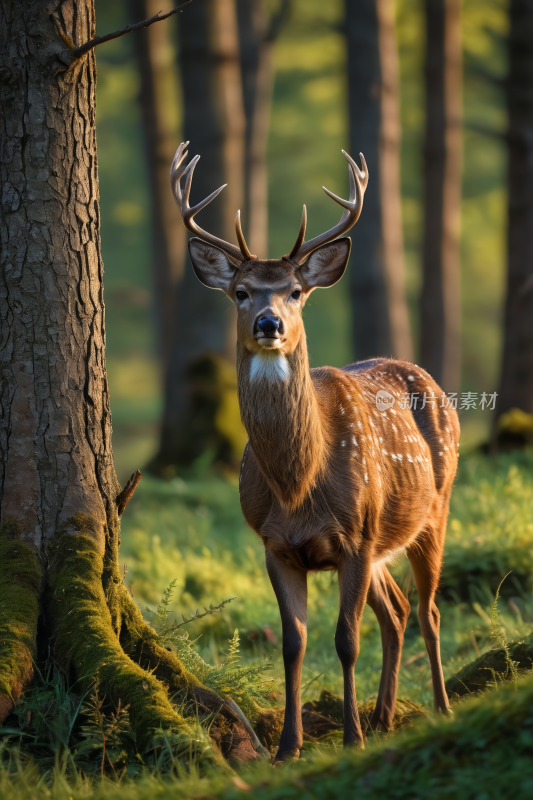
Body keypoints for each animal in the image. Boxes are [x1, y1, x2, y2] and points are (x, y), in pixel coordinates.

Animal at [169, 142, 458, 764]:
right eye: (241, 291)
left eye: (296, 291)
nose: (269, 322)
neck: (299, 485)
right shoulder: (275, 545)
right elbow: (293, 643)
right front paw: (287, 747)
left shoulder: (355, 535)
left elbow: (345, 640)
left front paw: (348, 736)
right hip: (382, 542)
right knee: (397, 612)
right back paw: (383, 716)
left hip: (432, 509)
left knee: (427, 609)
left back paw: (440, 708)